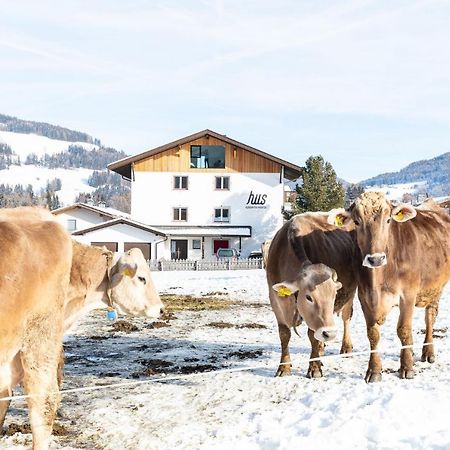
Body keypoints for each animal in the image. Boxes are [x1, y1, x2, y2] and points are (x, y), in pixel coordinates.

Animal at [268, 211, 358, 376]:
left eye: (333, 296)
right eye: (309, 297)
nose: (330, 334)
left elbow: (312, 336)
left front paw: (314, 367)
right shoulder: (275, 300)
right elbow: (284, 334)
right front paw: (284, 367)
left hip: (351, 292)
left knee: (346, 317)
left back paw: (346, 347)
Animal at [328, 192, 450, 382]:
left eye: (388, 220)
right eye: (357, 222)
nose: (375, 259)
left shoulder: (408, 295)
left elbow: (404, 330)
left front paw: (406, 367)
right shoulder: (365, 296)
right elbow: (373, 333)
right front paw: (374, 370)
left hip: (436, 287)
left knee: (430, 317)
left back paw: (428, 352)